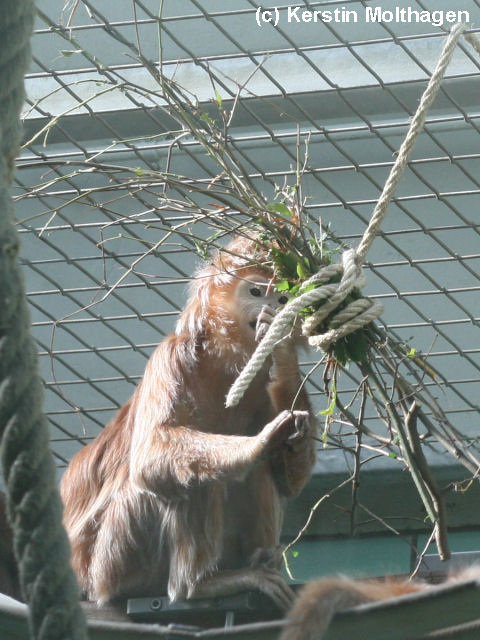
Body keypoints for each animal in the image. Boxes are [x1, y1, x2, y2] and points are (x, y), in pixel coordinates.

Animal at [60, 236, 316, 608]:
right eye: (255, 292)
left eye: (282, 299)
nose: (272, 308)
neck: (227, 359)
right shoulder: (172, 357)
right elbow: (151, 454)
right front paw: (259, 443)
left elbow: (290, 482)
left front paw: (281, 348)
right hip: (115, 560)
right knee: (188, 477)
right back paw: (196, 585)